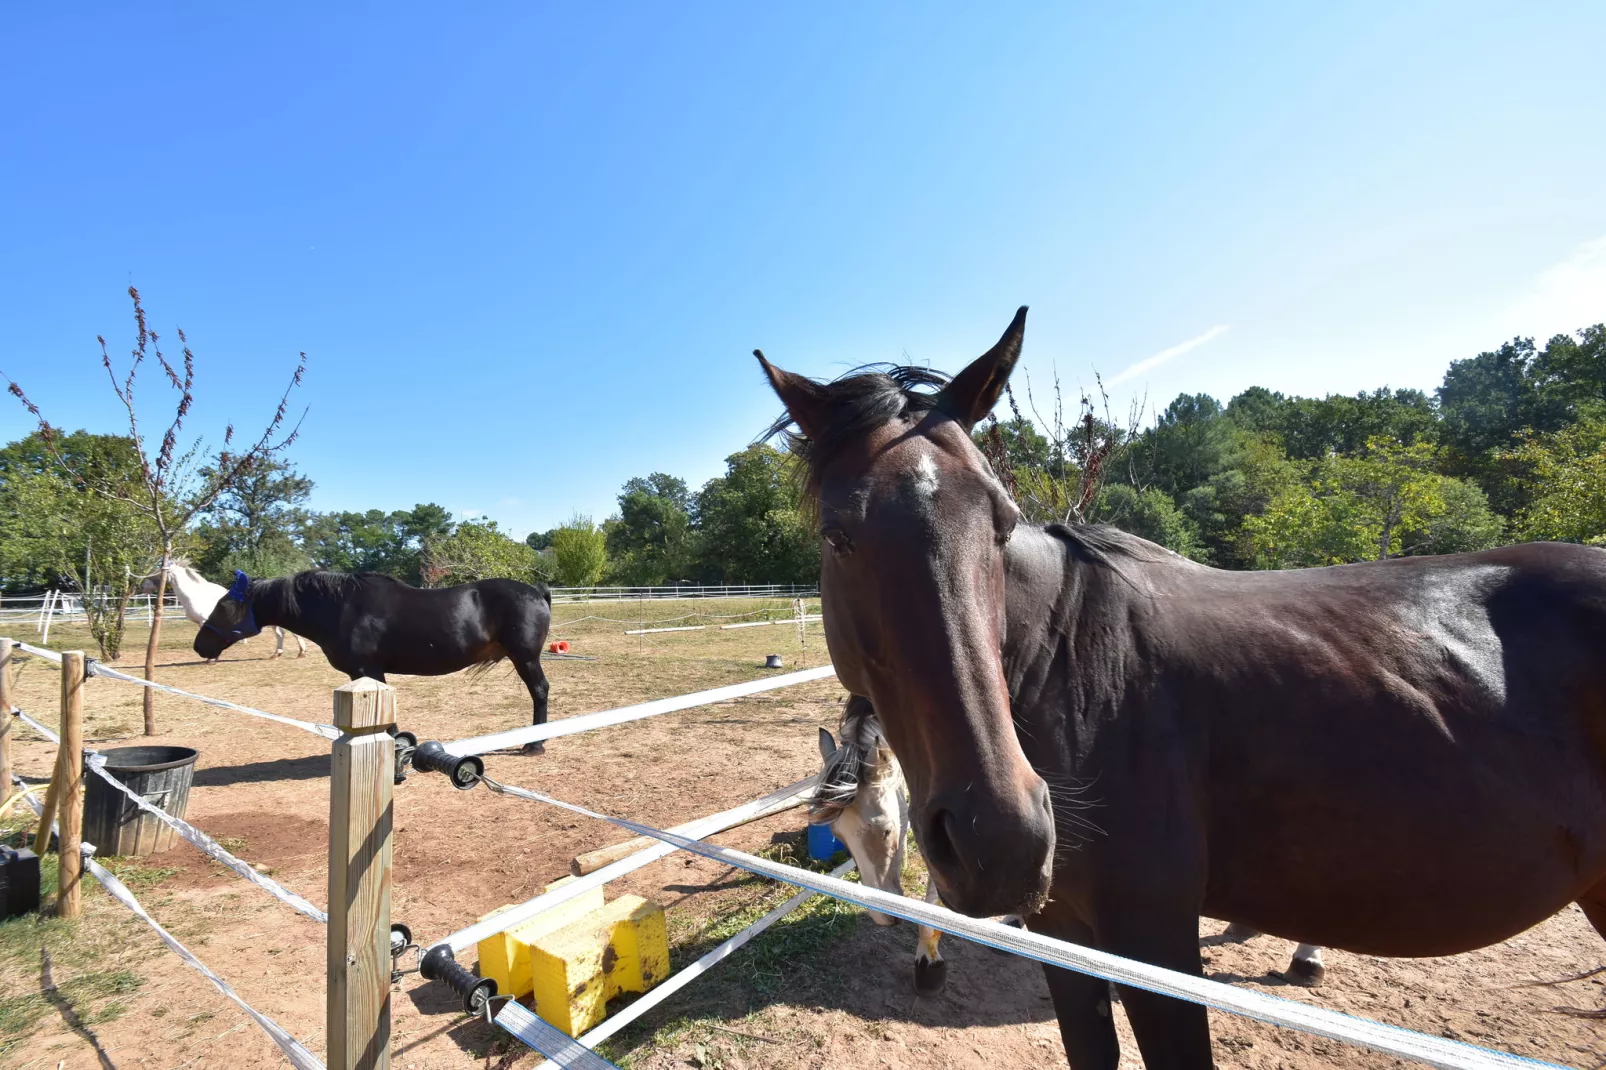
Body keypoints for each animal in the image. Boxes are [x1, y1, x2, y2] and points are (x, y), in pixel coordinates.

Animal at [144, 559, 309, 658]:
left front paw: (211, 658)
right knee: (281, 634)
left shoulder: (206, 621)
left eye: (159, 570)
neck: (196, 594)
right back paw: (277, 654)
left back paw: (301, 652)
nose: (143, 586)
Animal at [758, 303, 1606, 1060]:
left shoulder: (1154, 943)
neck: (1071, 672)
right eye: (838, 536)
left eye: (1001, 520)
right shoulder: (1066, 934)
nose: (1002, 840)